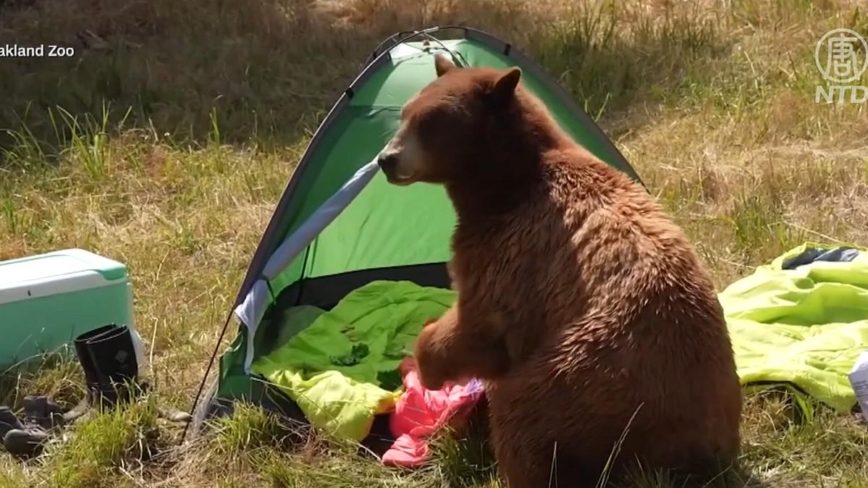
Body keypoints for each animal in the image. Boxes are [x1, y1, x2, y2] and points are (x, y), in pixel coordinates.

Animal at [376, 54, 744, 488]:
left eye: (431, 121)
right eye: (405, 113)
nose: (387, 159)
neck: (502, 186)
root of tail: (693, 459)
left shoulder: (511, 251)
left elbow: (481, 323)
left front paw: (427, 359)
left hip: (577, 382)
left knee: (522, 422)